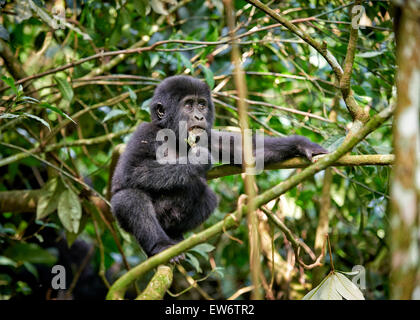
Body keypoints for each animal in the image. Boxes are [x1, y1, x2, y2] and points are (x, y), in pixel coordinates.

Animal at [110, 76, 326, 262]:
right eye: (188, 105)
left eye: (201, 104)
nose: (199, 116)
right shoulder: (145, 133)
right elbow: (130, 173)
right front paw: (196, 161)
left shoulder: (207, 137)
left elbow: (248, 152)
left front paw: (301, 145)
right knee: (129, 198)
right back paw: (161, 246)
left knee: (208, 197)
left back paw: (175, 234)